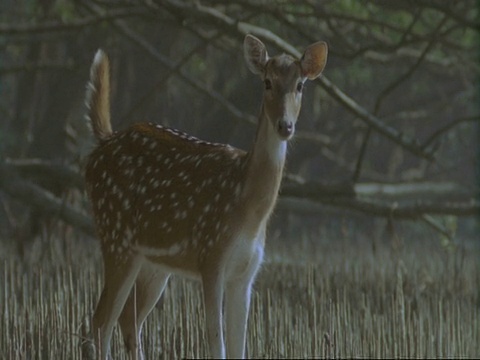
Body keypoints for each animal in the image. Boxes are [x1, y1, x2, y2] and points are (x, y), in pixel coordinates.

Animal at [85, 34, 326, 360]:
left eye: (300, 85)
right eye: (267, 82)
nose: (285, 125)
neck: (248, 210)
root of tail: (102, 143)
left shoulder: (246, 273)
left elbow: (239, 346)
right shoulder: (210, 256)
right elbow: (216, 340)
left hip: (153, 263)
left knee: (127, 319)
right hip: (116, 236)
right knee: (101, 321)